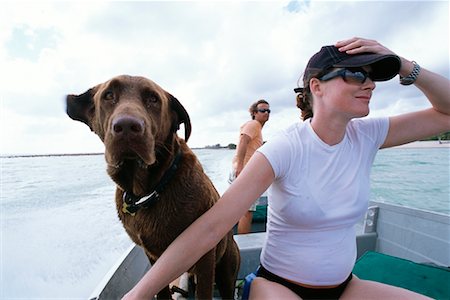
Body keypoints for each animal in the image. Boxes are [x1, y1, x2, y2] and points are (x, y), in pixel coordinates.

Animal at [66, 75, 239, 298]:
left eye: (153, 99)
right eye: (108, 95)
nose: (127, 126)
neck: (150, 191)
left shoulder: (204, 254)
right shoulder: (153, 256)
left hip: (226, 271)